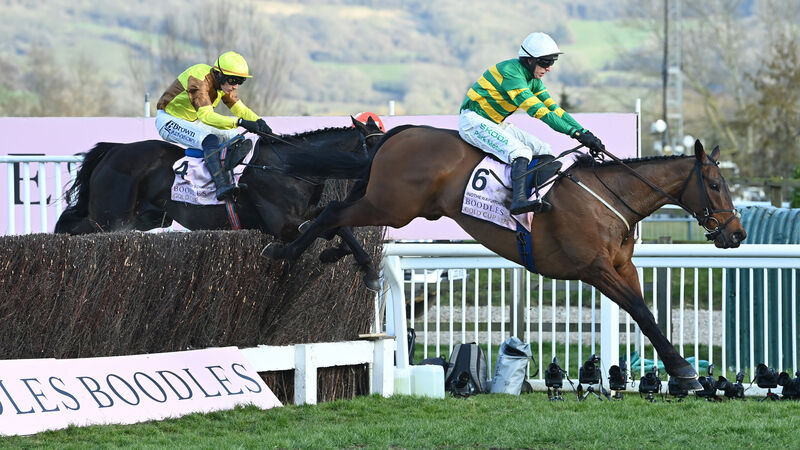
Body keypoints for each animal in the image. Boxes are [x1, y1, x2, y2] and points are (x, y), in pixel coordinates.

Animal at [263, 125, 747, 390]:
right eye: (716, 185)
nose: (737, 234)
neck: (610, 198)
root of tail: (400, 132)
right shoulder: (593, 268)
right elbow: (642, 313)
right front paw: (683, 371)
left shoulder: (622, 266)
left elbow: (648, 315)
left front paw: (679, 369)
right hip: (392, 204)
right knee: (332, 211)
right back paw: (288, 251)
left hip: (396, 203)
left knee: (336, 214)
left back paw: (341, 256)